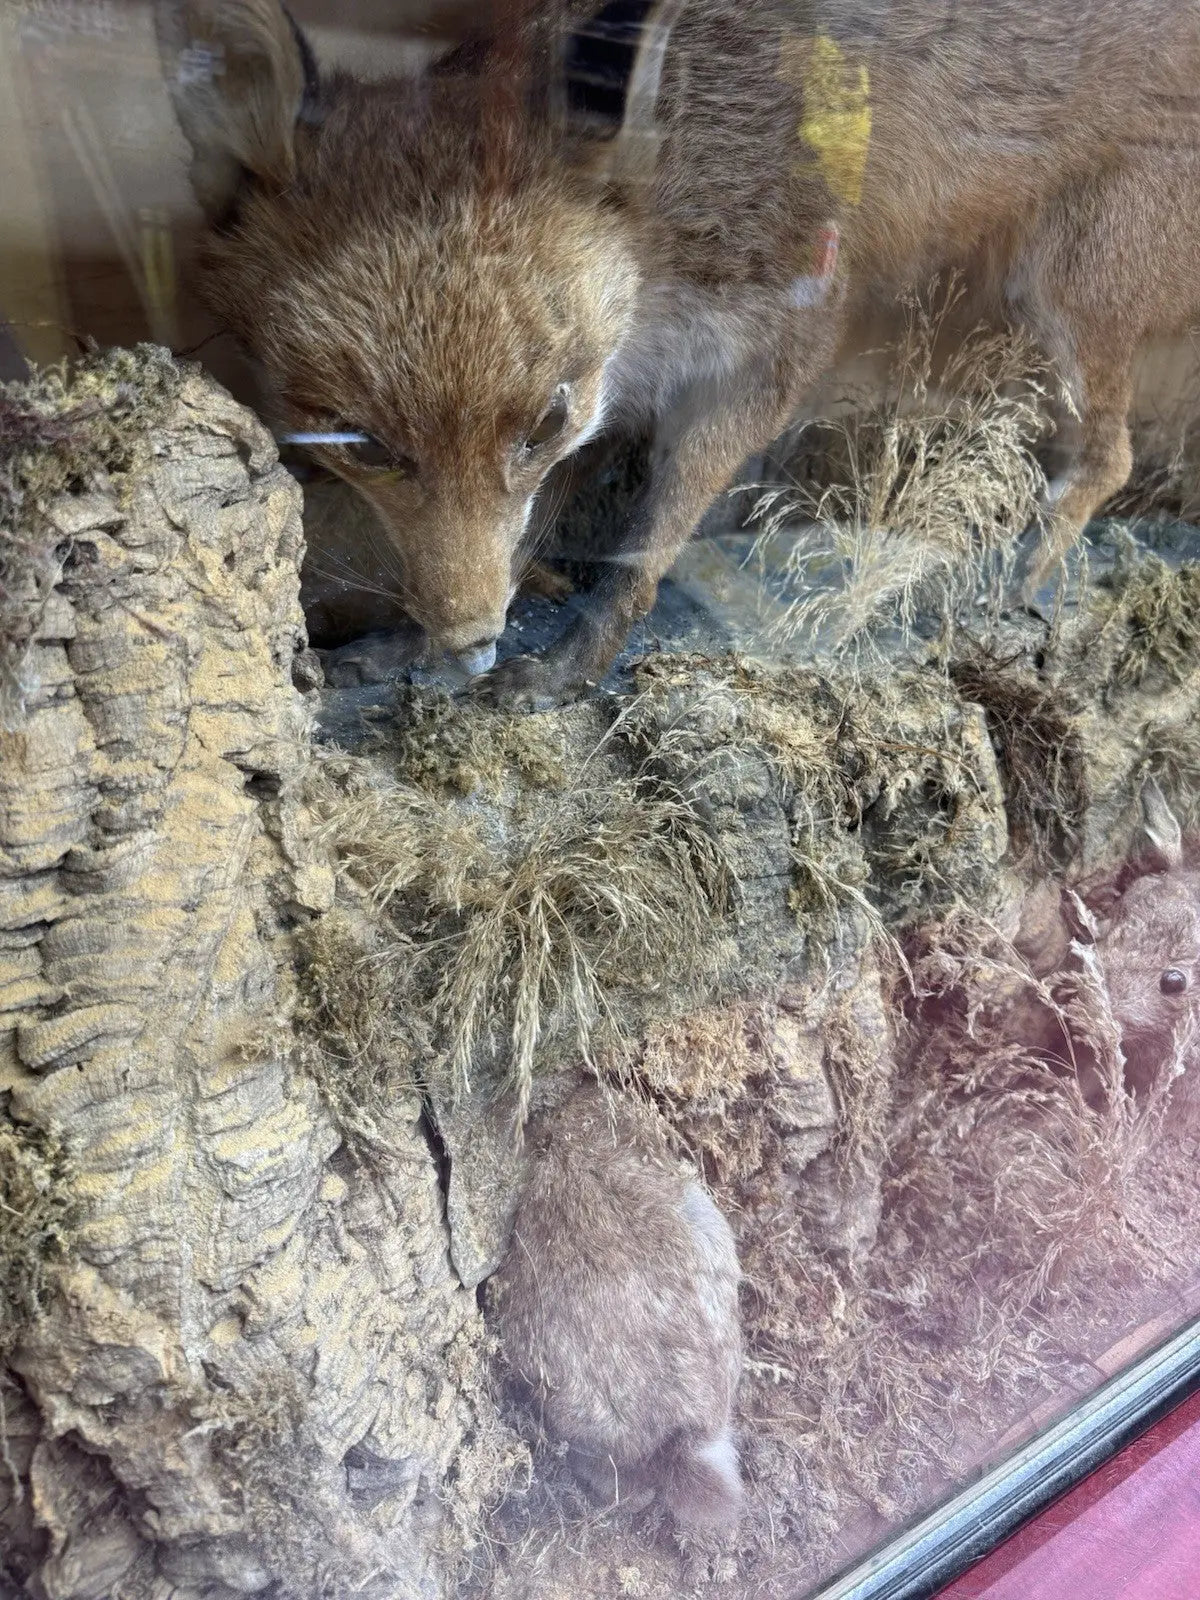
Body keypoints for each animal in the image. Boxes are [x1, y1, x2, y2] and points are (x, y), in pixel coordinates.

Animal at [156, 0, 1200, 706]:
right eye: (361, 444)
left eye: (541, 420)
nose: (468, 643)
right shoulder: (614, 394)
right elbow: (525, 538)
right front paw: (411, 649)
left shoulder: (769, 351)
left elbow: (644, 550)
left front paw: (568, 667)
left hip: (1064, 295)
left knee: (1110, 460)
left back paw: (1017, 582)